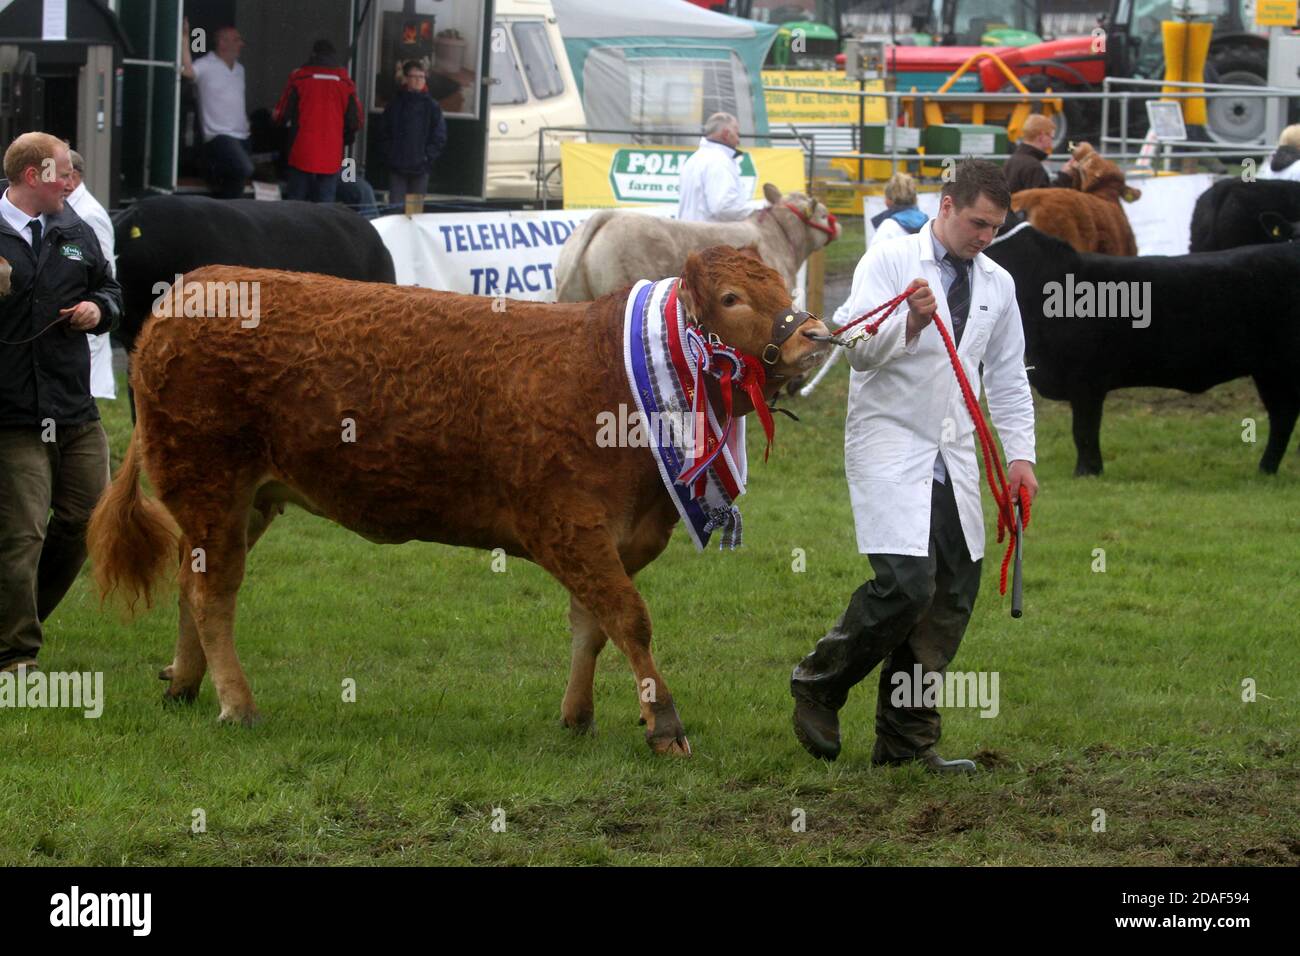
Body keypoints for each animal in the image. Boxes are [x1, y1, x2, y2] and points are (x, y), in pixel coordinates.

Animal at [86, 247, 826, 754]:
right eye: (732, 296)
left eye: (782, 285)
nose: (815, 335)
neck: (612, 374)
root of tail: (190, 289)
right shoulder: (568, 526)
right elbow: (629, 620)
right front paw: (664, 722)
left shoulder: (617, 537)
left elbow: (590, 627)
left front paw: (577, 716)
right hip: (209, 483)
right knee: (213, 594)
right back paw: (236, 703)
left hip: (245, 501)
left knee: (193, 581)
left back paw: (185, 684)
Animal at [987, 223, 1294, 478]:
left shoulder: (1087, 380)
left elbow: (1083, 430)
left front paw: (1087, 472)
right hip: (1268, 371)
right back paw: (1266, 470)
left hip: (1280, 368)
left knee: (1283, 416)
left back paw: (1265, 468)